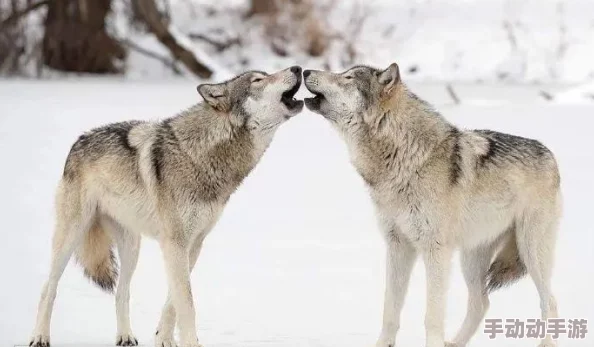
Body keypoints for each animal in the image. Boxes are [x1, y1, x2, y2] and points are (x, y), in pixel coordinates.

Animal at [30, 66, 302, 347]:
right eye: (258, 79)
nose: (297, 68)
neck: (201, 154)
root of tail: (79, 141)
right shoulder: (175, 243)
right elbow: (187, 304)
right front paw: (190, 343)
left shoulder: (193, 244)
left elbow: (174, 301)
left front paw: (164, 338)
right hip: (71, 236)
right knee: (48, 287)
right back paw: (39, 336)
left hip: (132, 248)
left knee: (121, 292)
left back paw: (125, 336)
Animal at [306, 64, 560, 347]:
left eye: (347, 77)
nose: (305, 72)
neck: (403, 157)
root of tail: (549, 153)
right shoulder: (398, 246)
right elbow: (390, 310)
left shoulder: (435, 250)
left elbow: (432, 315)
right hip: (471, 260)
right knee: (481, 303)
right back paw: (456, 343)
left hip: (530, 252)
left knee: (550, 301)